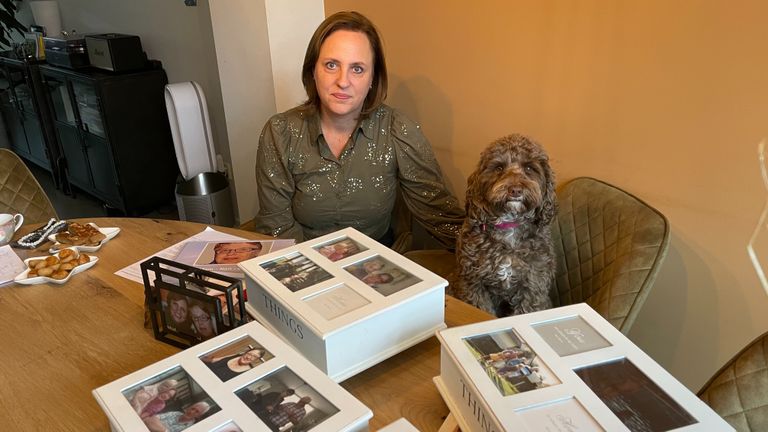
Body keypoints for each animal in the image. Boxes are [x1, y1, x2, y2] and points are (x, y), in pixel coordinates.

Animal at [452, 133, 556, 316]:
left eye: (529, 168)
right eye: (498, 168)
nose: (515, 190)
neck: (509, 225)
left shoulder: (533, 286)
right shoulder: (473, 283)